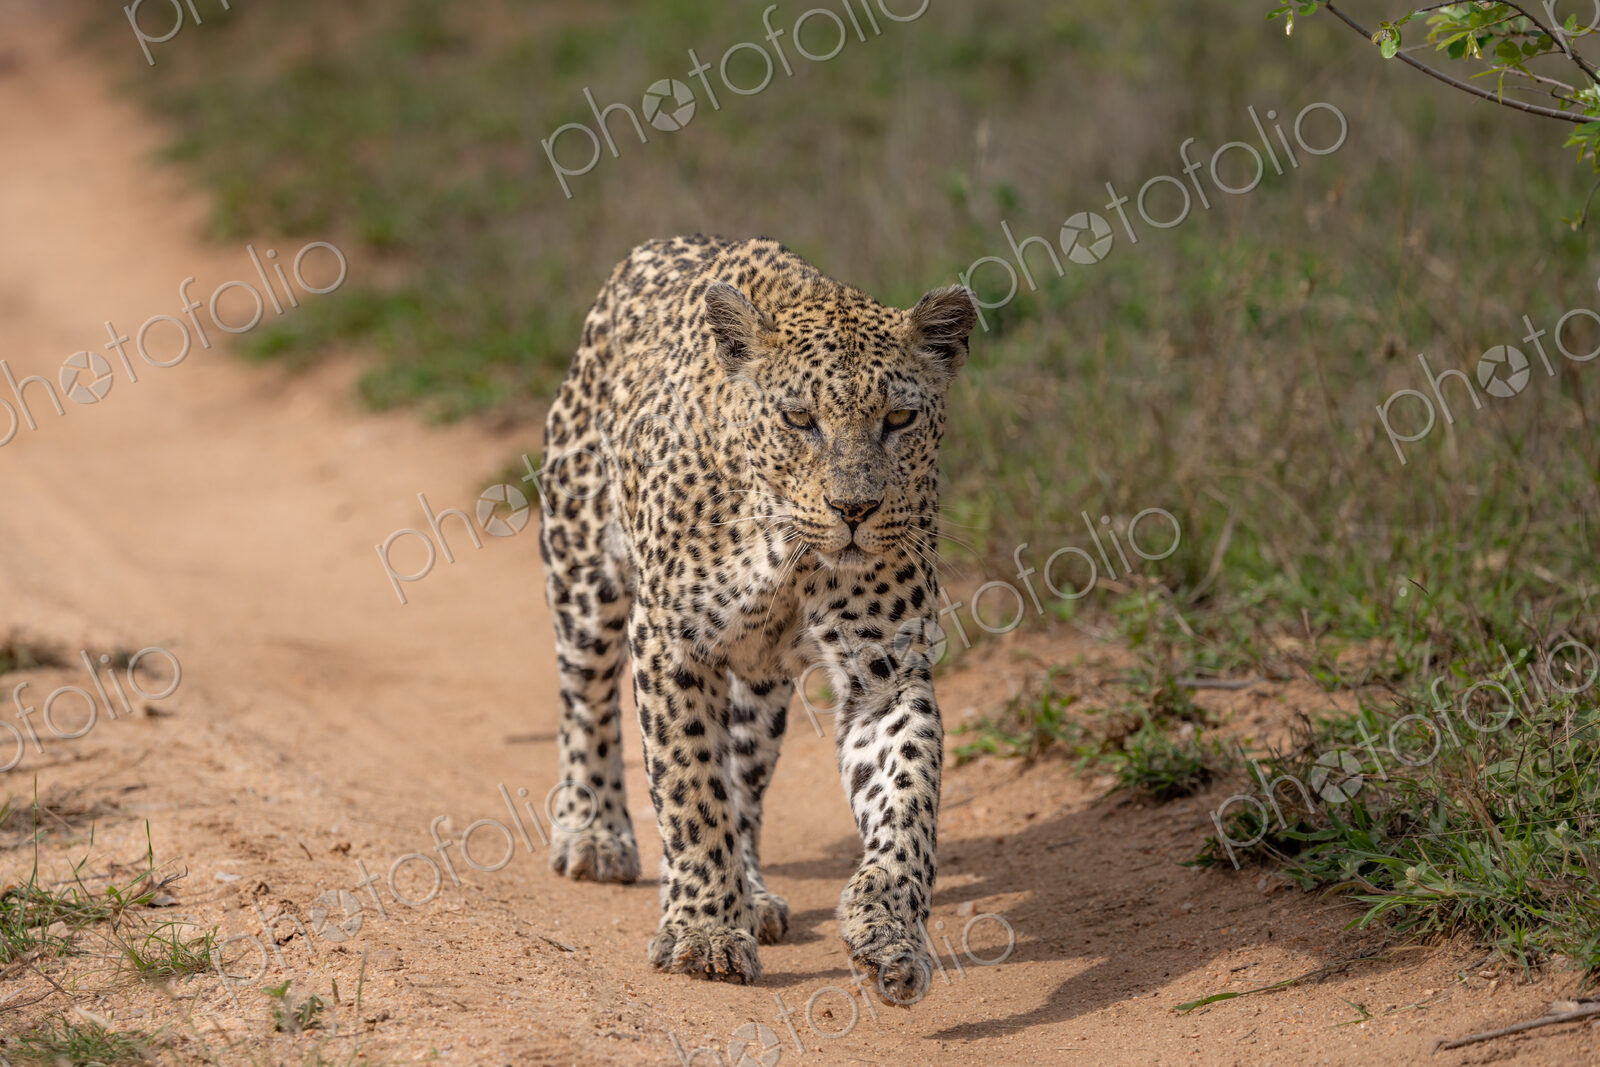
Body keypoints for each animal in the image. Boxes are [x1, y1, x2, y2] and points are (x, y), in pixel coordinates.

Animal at [537, 234, 976, 1005]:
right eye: (800, 419)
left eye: (898, 420)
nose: (854, 509)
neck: (790, 554)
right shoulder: (670, 644)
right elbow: (689, 789)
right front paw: (706, 932)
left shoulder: (885, 672)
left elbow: (908, 801)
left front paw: (888, 930)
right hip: (582, 572)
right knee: (586, 705)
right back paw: (593, 834)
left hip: (760, 688)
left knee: (742, 778)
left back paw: (756, 893)